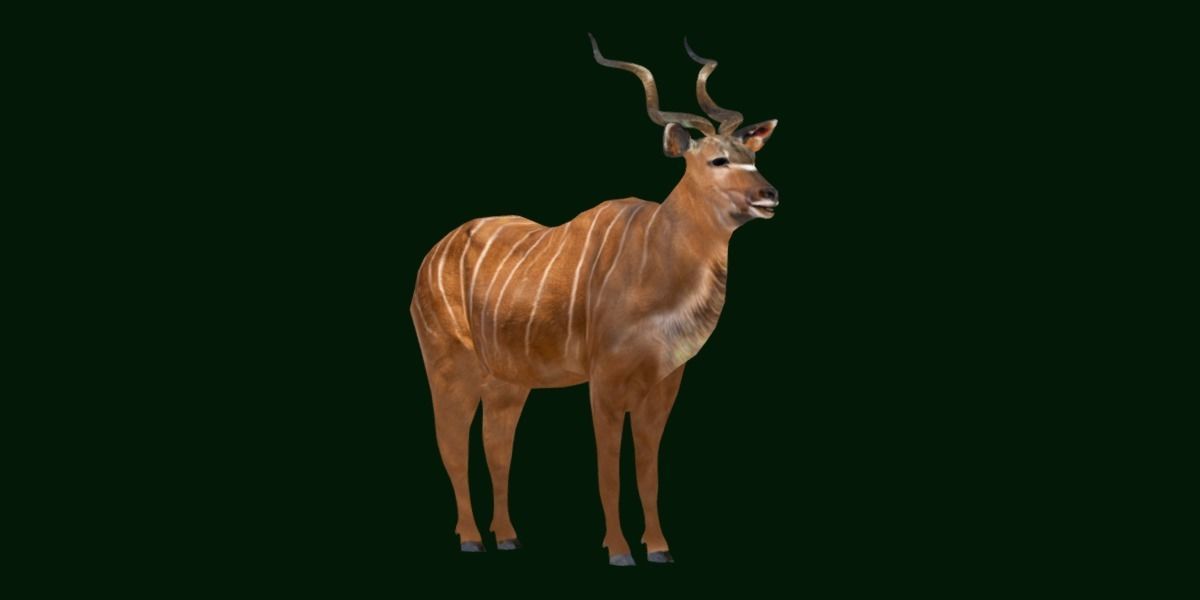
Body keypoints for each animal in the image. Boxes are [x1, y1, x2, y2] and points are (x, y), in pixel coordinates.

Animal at [410, 35, 780, 566]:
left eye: (752, 155)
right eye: (718, 160)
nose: (768, 195)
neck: (655, 261)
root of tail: (431, 255)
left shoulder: (663, 381)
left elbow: (648, 469)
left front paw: (659, 549)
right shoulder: (603, 381)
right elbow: (608, 469)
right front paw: (621, 551)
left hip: (506, 380)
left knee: (495, 443)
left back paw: (507, 536)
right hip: (448, 364)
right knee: (452, 441)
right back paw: (470, 538)